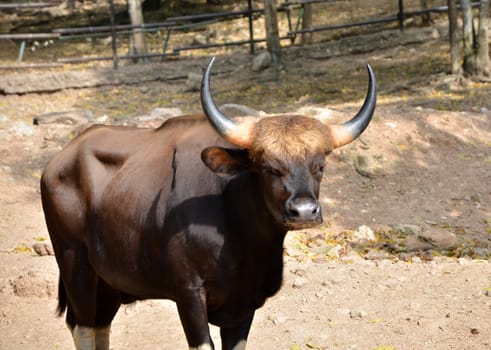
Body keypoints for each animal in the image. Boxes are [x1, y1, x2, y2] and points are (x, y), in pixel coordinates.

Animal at [41, 56, 376, 348]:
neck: (239, 233)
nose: (304, 211)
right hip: (75, 267)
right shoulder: (188, 294)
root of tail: (57, 162)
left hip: (109, 282)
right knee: (83, 326)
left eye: (320, 166)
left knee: (99, 326)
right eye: (267, 167)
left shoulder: (244, 304)